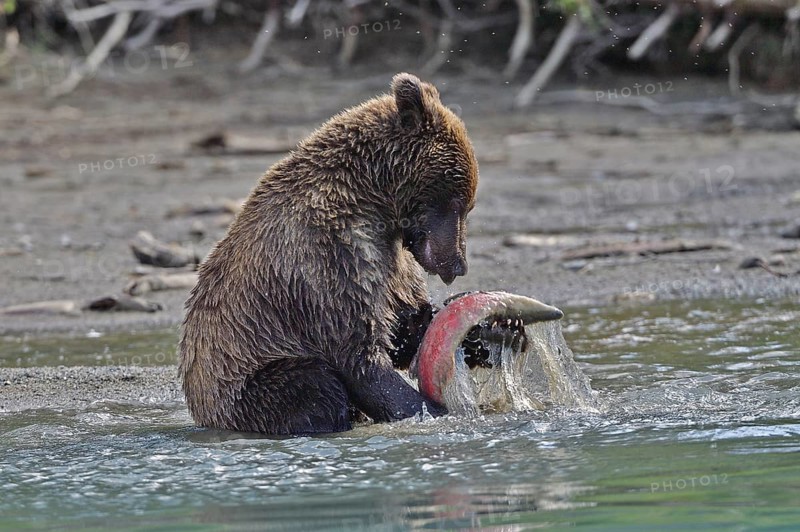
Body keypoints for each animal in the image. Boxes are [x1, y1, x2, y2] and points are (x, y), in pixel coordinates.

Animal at [178, 73, 479, 435]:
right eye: (458, 203)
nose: (458, 264)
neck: (374, 201)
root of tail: (199, 406)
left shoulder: (392, 261)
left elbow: (401, 326)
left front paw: (474, 331)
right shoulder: (330, 255)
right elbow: (359, 353)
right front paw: (432, 410)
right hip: (242, 377)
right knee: (312, 385)